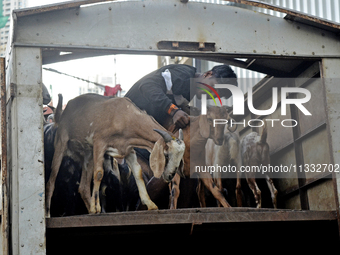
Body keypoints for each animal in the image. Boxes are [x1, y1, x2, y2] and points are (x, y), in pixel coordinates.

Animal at [45, 92, 185, 216]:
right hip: (62, 142)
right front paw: (96, 207)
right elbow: (99, 173)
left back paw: (90, 209)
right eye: (166, 154)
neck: (124, 116)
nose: (170, 175)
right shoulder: (99, 143)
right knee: (51, 181)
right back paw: (47, 214)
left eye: (180, 159)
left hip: (88, 154)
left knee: (83, 187)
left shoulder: (128, 149)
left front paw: (150, 204)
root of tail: (63, 112)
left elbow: (138, 172)